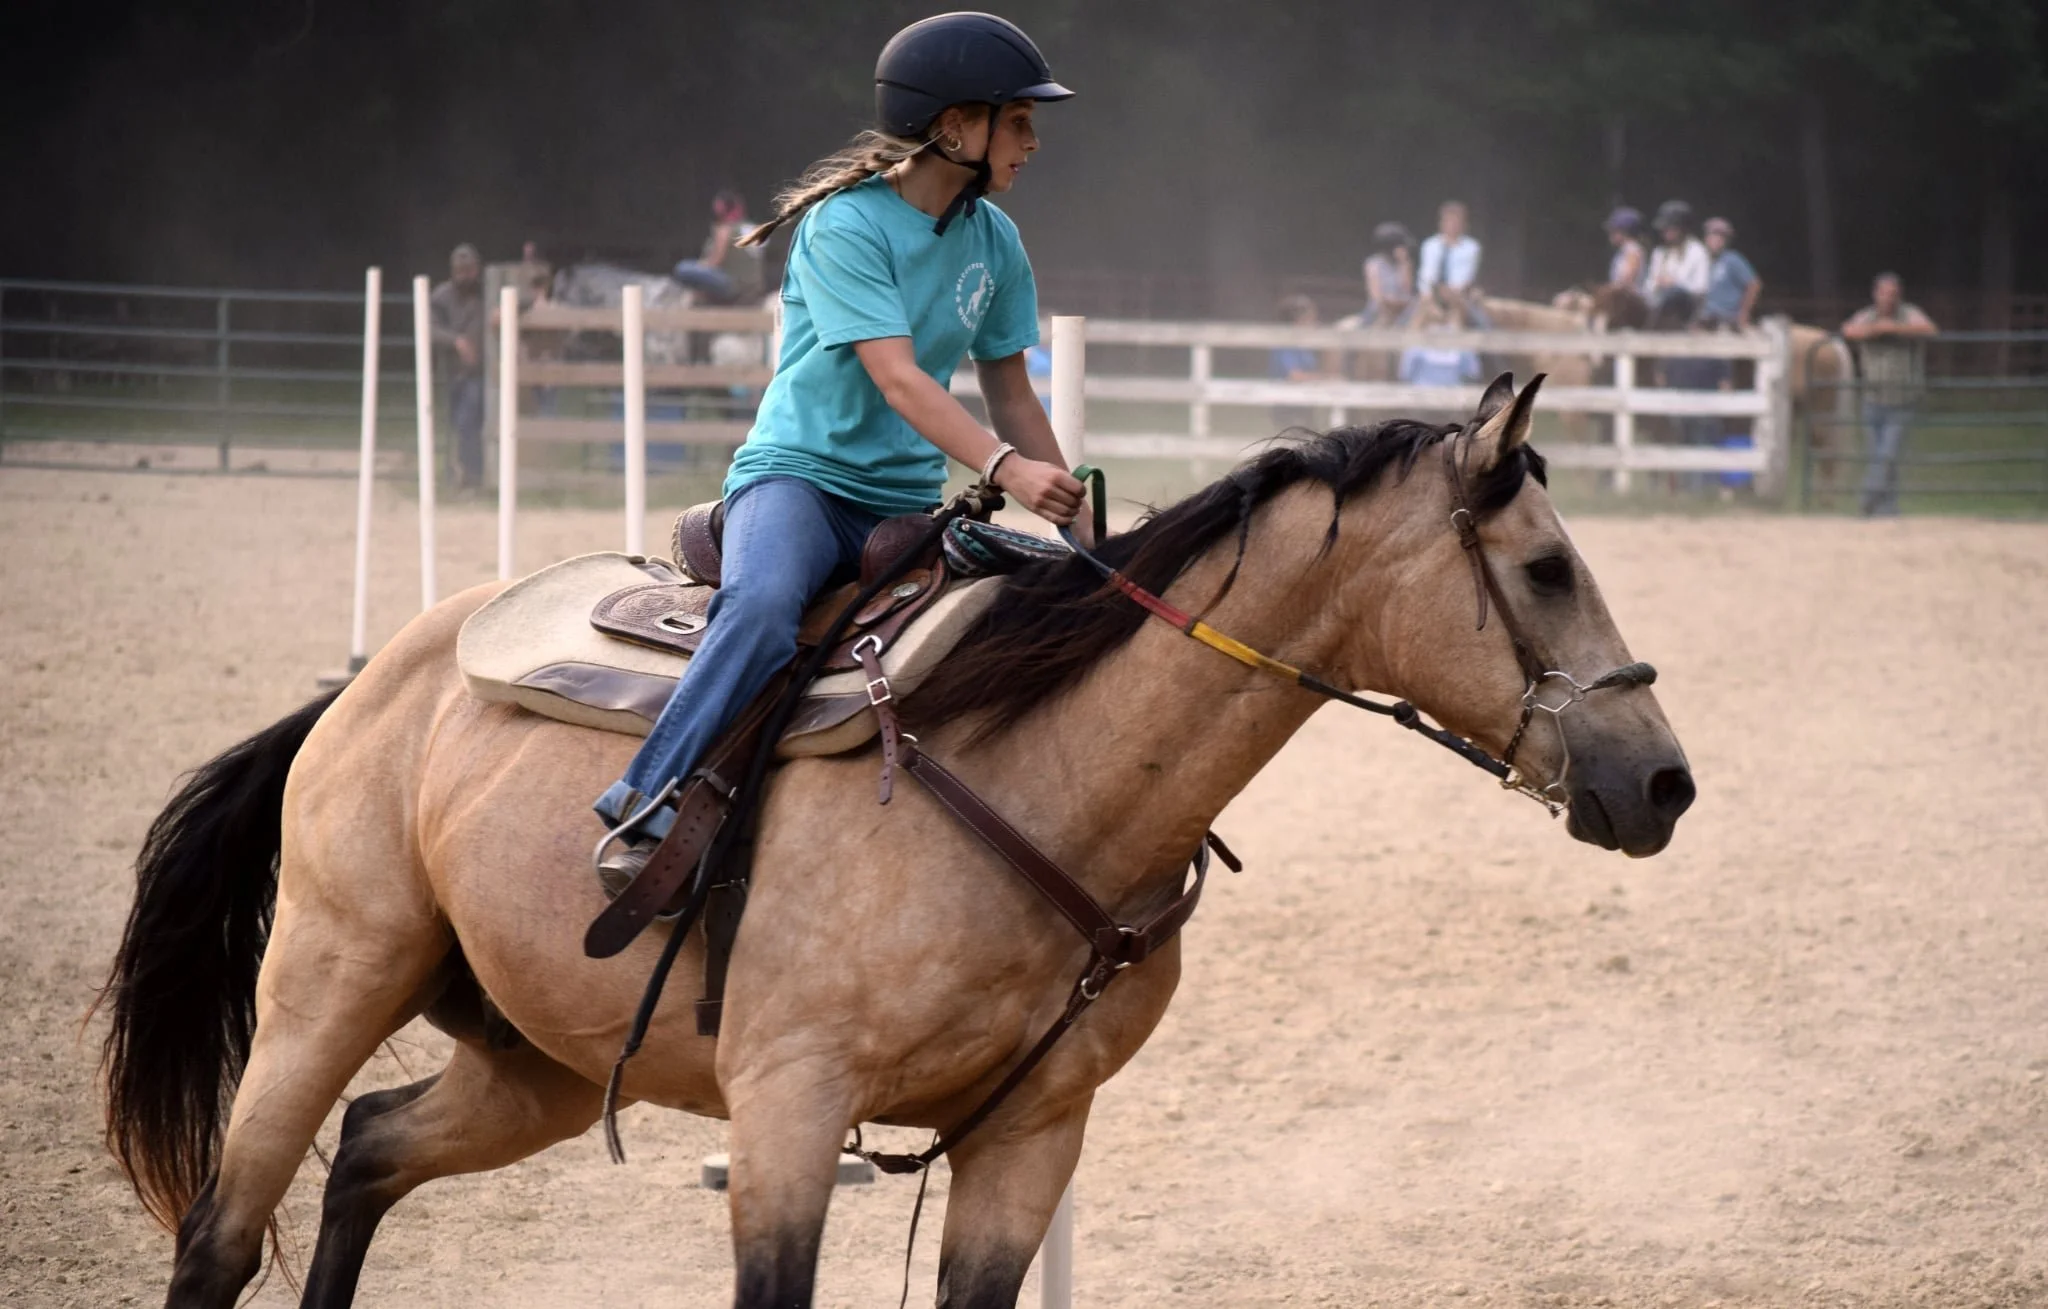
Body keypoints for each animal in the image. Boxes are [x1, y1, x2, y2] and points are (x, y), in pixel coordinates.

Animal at [100, 374, 1694, 1309]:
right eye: (1547, 567)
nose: (1665, 782)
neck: (1044, 771)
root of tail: (374, 681)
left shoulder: (1032, 1136)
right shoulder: (789, 1117)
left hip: (536, 1057)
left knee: (369, 1153)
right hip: (333, 974)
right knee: (226, 1227)